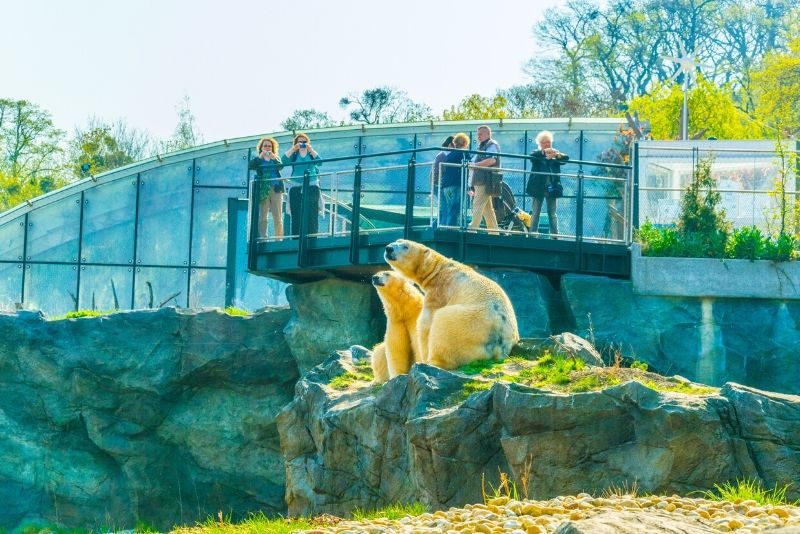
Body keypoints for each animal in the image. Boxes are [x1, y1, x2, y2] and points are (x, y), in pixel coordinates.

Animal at [384, 241, 520, 370]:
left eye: (405, 246)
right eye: (397, 240)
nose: (388, 248)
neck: (438, 270)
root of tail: (500, 347)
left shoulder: (439, 291)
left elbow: (425, 323)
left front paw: (423, 357)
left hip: (470, 324)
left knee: (443, 322)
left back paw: (432, 362)